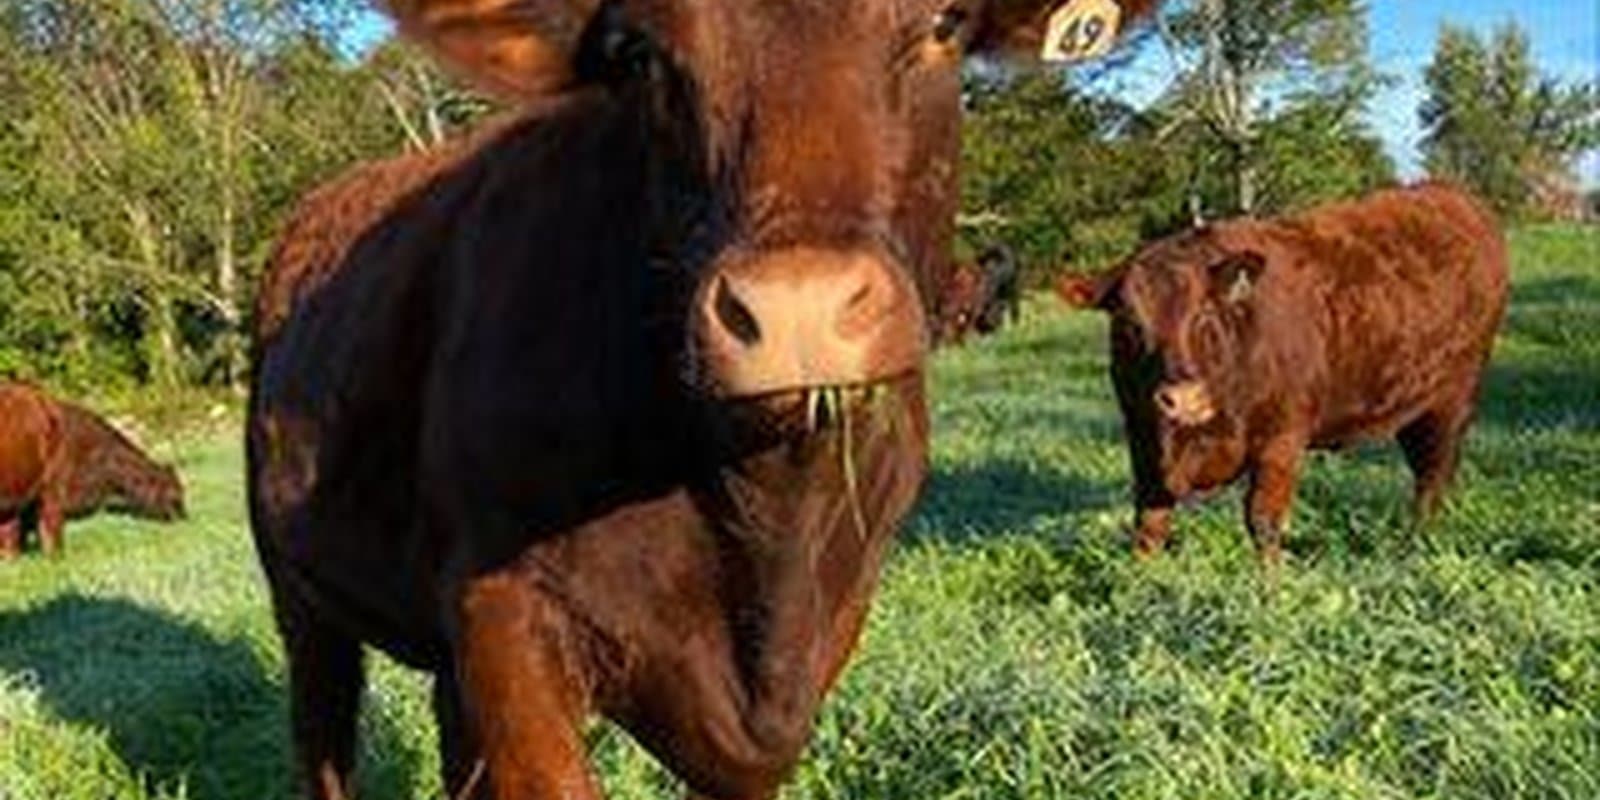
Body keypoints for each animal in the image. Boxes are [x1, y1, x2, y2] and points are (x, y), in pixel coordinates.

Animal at [1056, 182, 1508, 563]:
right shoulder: (1142, 437)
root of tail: (1454, 195)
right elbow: (1149, 523)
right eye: (1129, 323)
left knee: (1434, 477)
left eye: (1205, 314)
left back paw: (1418, 544)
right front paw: (1140, 582)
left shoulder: (1281, 438)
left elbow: (1263, 521)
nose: (1183, 399)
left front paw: (1270, 589)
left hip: (1453, 398)